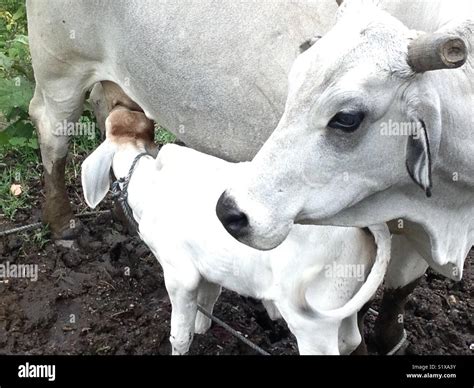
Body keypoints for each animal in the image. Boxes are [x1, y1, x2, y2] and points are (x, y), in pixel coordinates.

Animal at [82, 107, 392, 356]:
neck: (148, 183)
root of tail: (365, 220)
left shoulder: (180, 275)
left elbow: (180, 336)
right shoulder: (208, 269)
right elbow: (207, 302)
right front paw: (203, 327)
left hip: (311, 320)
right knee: (350, 340)